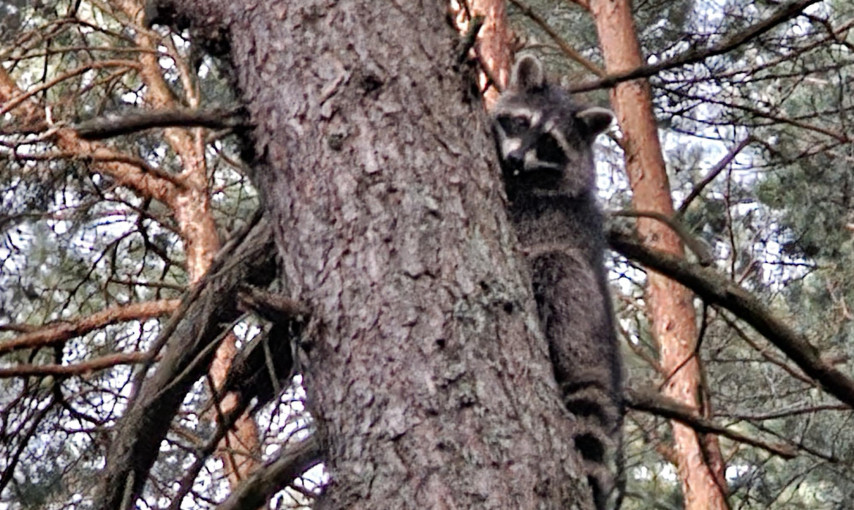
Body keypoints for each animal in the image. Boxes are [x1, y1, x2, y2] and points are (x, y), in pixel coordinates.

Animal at [492, 55, 624, 510]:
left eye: (549, 143)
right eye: (519, 122)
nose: (516, 160)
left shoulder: (541, 211)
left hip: (578, 310)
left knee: (557, 268)